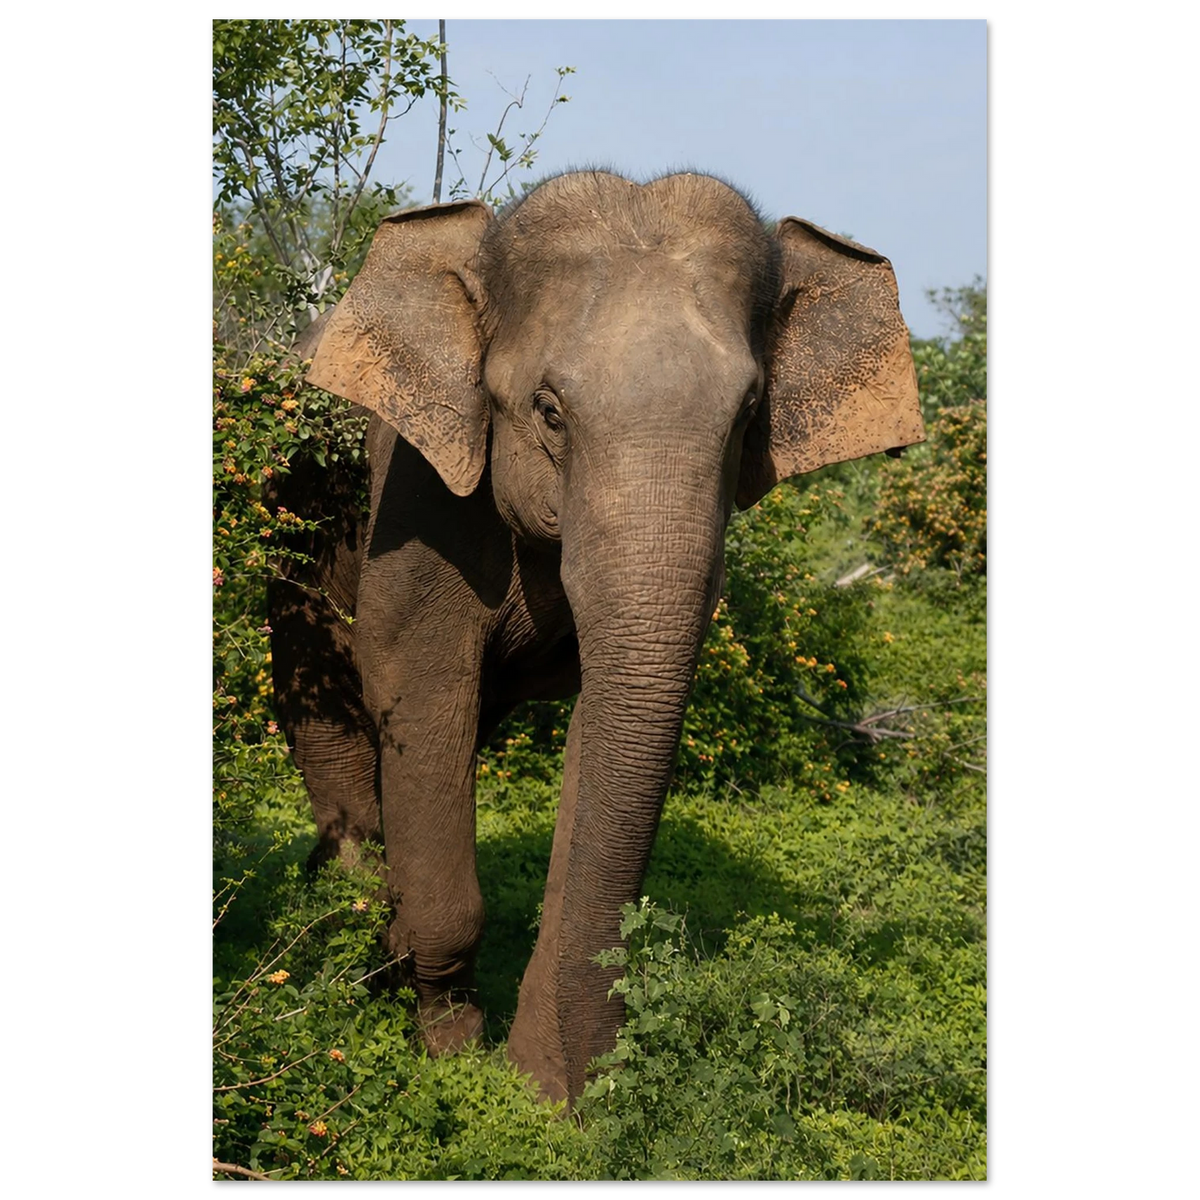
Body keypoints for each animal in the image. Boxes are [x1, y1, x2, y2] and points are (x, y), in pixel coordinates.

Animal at [268, 170, 924, 1104]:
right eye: (549, 410)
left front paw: (539, 1089)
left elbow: (603, 722)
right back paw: (345, 910)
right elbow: (415, 684)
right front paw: (448, 1047)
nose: (588, 1093)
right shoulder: (417, 497)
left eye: (748, 415)